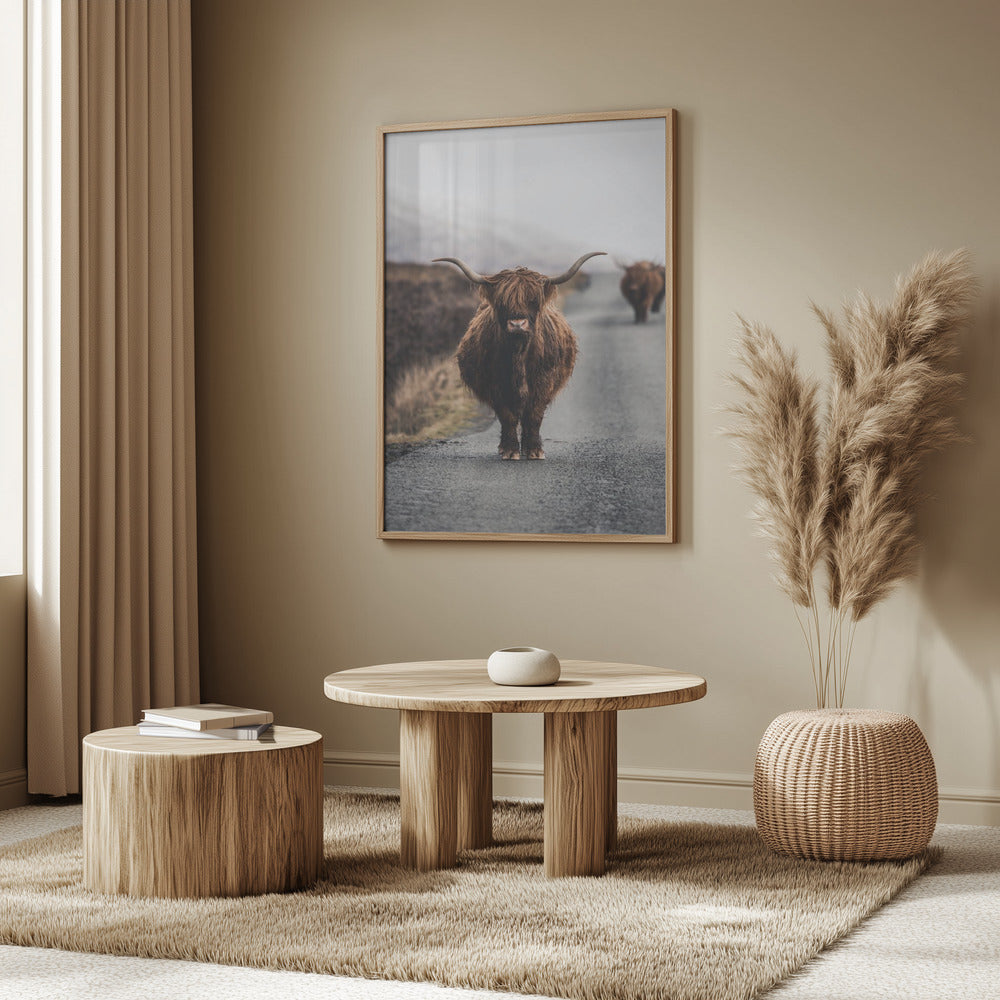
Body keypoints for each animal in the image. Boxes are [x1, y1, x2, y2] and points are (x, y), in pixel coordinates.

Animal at [433, 252, 605, 460]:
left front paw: (534, 450)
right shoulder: (495, 386)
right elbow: (507, 416)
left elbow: (534, 415)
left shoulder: (543, 382)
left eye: (533, 301)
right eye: (502, 303)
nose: (517, 324)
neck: (518, 354)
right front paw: (510, 450)